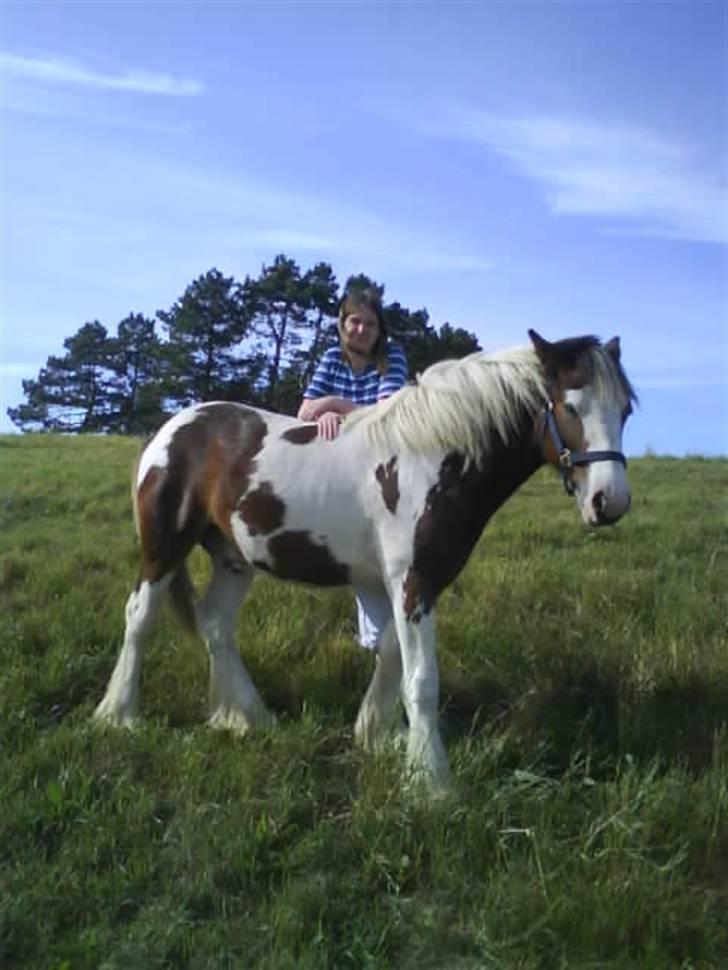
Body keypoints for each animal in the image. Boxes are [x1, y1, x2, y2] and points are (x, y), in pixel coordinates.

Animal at [94, 328, 636, 792]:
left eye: (626, 410)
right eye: (569, 407)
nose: (610, 503)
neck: (432, 458)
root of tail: (171, 428)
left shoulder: (402, 584)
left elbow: (392, 653)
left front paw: (380, 735)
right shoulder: (413, 580)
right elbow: (421, 680)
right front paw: (430, 781)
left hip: (234, 558)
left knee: (215, 627)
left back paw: (249, 718)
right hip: (165, 546)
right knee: (139, 617)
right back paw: (120, 716)